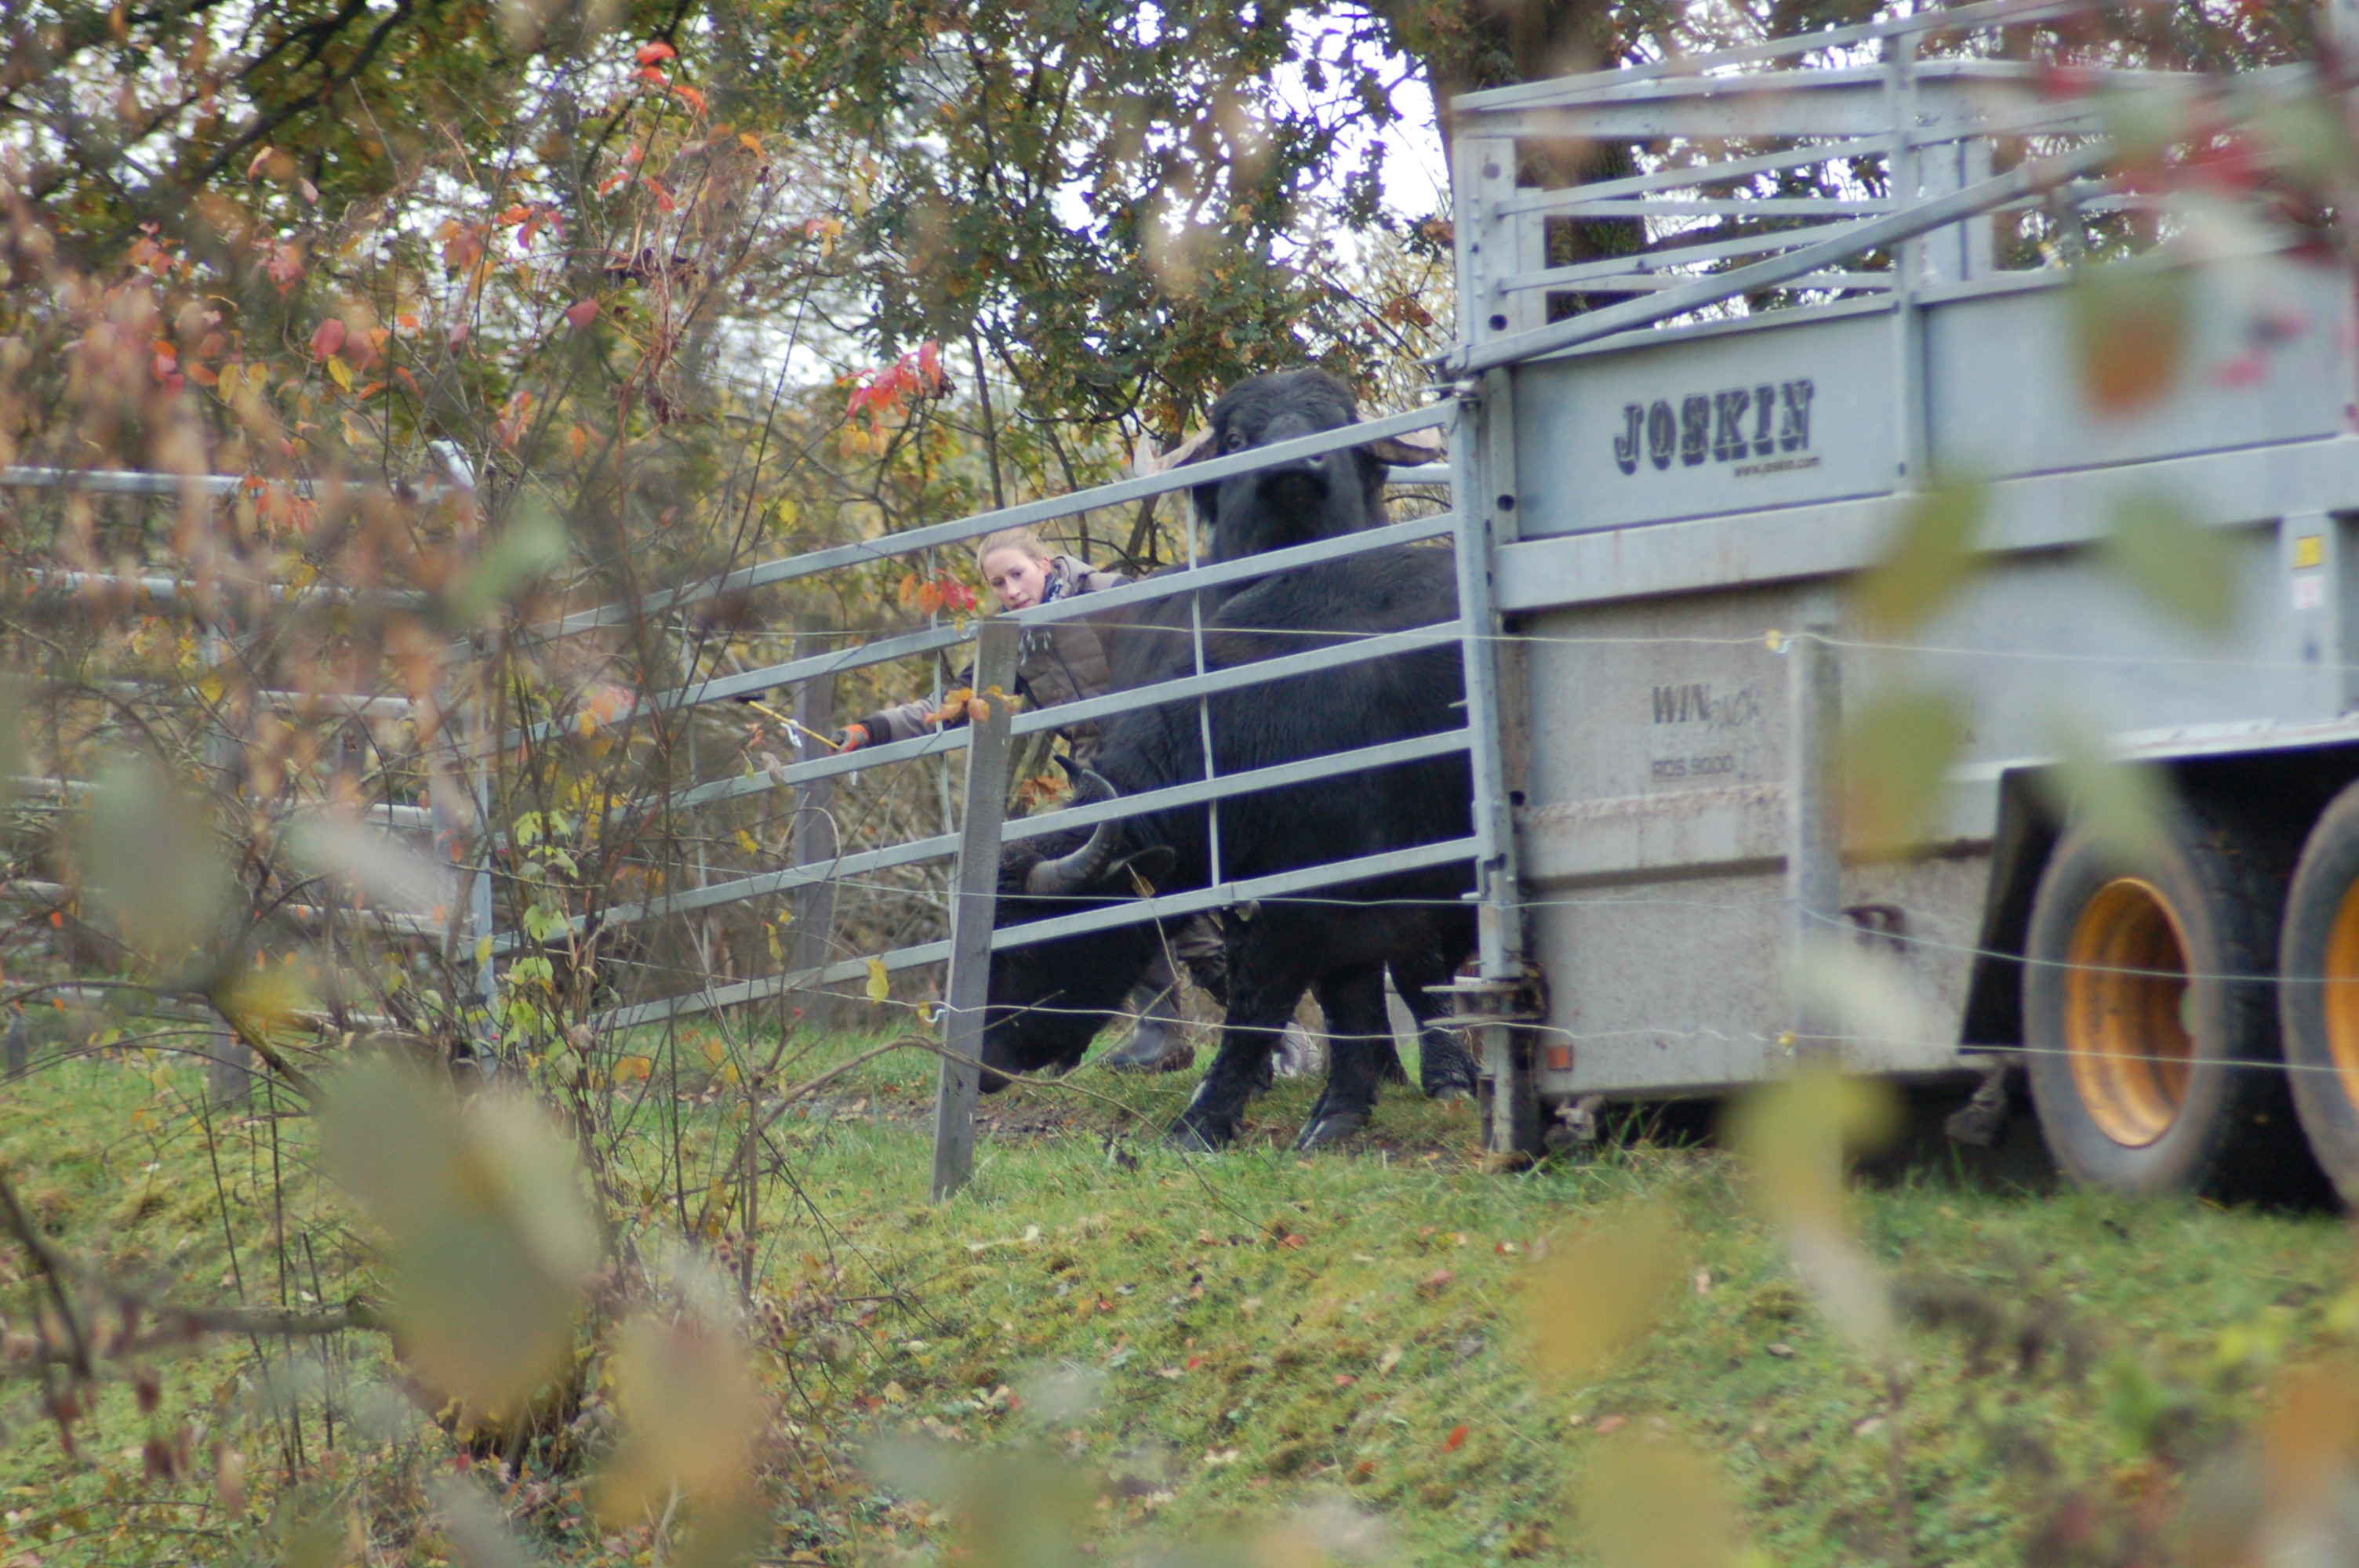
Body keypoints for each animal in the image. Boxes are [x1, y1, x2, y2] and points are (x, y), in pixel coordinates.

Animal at [976, 544, 1471, 1145]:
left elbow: (1263, 1001)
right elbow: (1346, 996)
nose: (983, 1063)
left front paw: (1202, 1122)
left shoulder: (1323, 902)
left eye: (1028, 949)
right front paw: (1339, 1113)